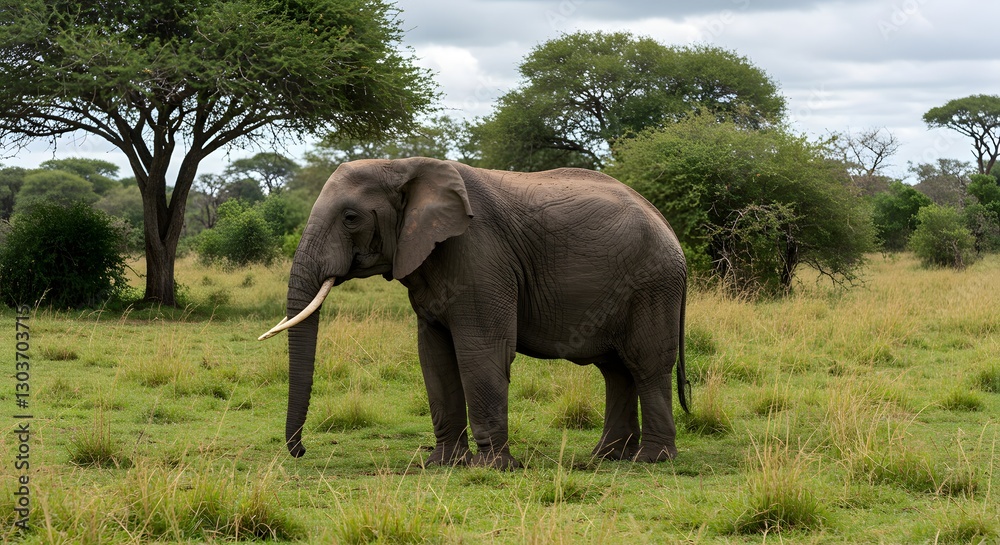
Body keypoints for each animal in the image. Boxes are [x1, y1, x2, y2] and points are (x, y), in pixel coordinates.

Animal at [259, 157, 689, 469]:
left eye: (350, 218)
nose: (301, 452)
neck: (401, 164)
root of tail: (667, 223)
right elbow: (434, 356)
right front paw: (443, 464)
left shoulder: (480, 255)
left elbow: (481, 352)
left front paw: (493, 467)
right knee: (616, 369)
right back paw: (607, 456)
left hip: (653, 284)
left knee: (645, 364)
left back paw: (651, 460)